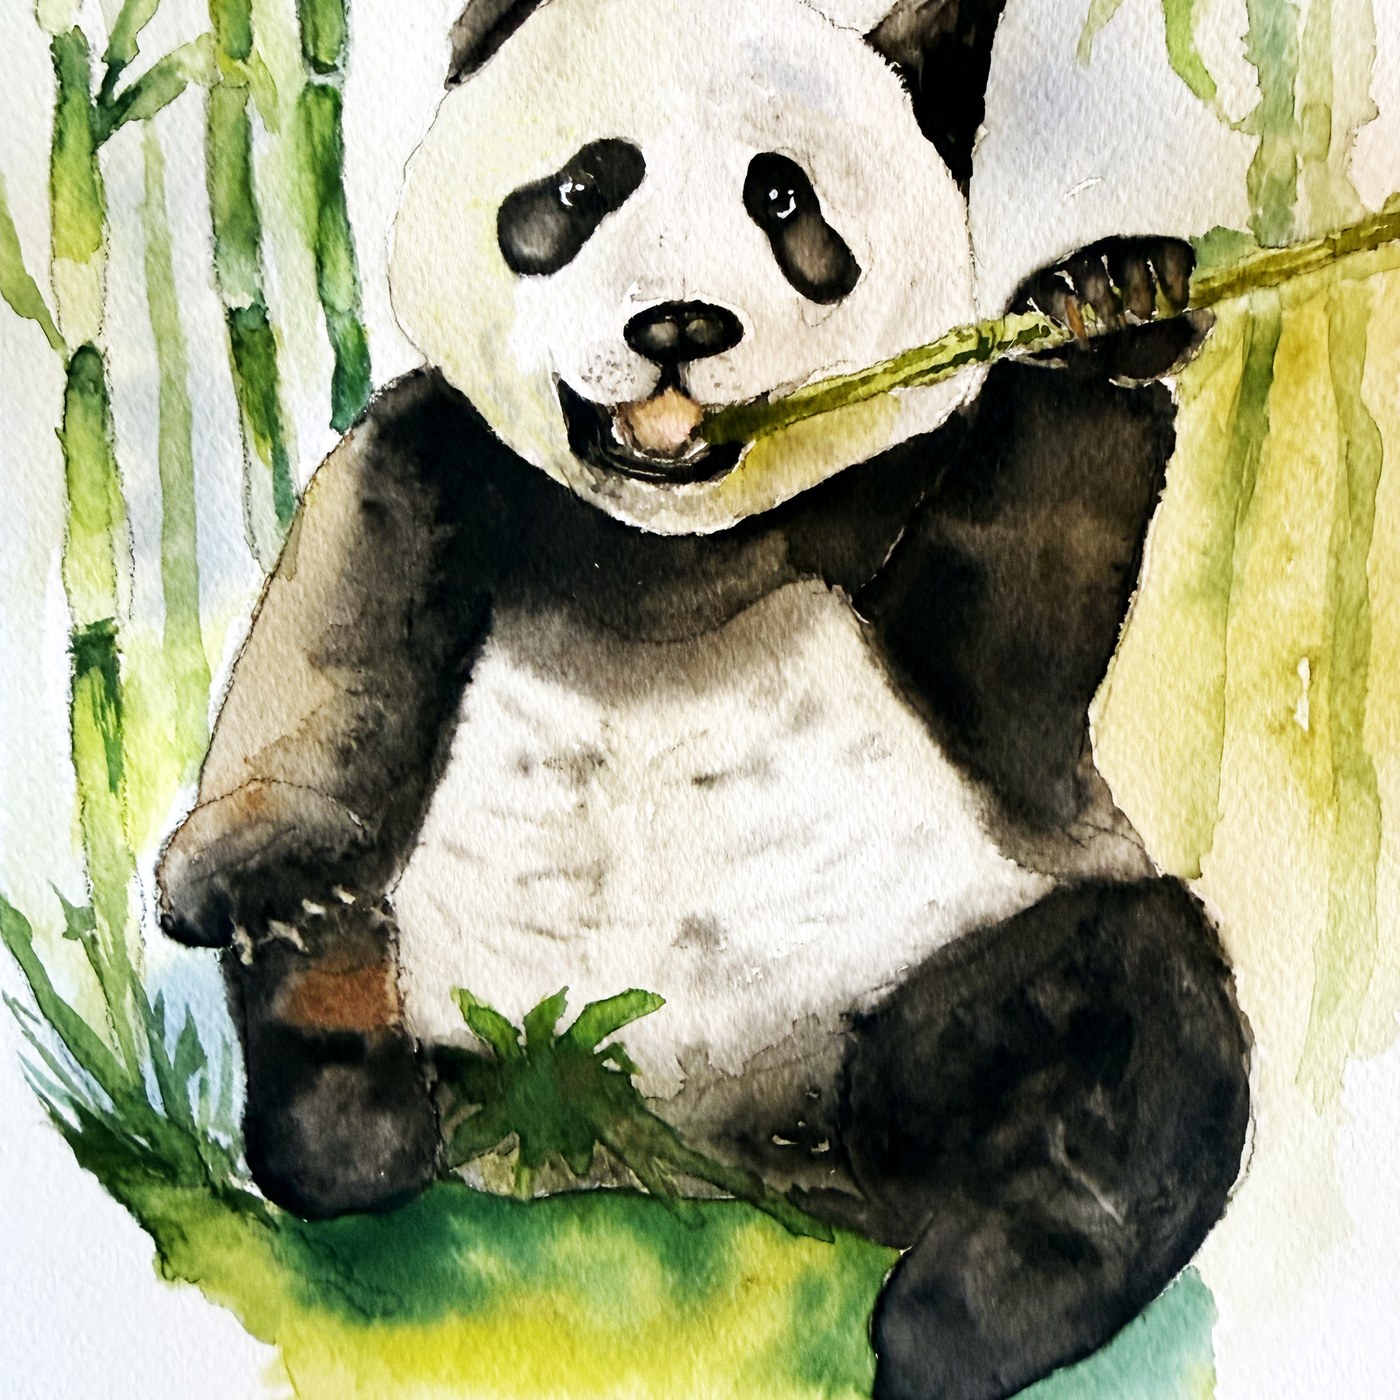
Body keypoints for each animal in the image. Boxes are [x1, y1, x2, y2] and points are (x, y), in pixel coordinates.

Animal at [157, 1, 1252, 1397]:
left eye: (778, 197)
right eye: (584, 185)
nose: (678, 325)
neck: (664, 544)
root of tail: (646, 1158)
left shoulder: (887, 516)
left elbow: (1018, 610)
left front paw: (1103, 308)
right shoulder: (437, 454)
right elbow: (329, 621)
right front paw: (250, 871)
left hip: (905, 984)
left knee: (1118, 1002)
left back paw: (971, 1309)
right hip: (471, 1019)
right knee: (343, 1008)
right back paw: (334, 1036)